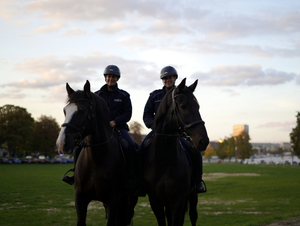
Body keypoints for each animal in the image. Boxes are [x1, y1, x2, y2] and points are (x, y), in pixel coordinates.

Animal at [55, 80, 138, 225]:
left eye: (81, 110)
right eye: (65, 111)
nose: (61, 143)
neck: (96, 161)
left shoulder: (113, 201)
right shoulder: (80, 200)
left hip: (130, 198)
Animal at [142, 78, 209, 226]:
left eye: (198, 107)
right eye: (183, 107)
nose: (204, 141)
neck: (164, 159)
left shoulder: (178, 200)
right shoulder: (155, 201)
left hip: (192, 195)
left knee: (193, 216)